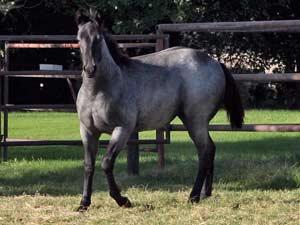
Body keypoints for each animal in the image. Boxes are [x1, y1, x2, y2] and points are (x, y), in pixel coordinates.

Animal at [74, 10, 244, 211]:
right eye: (79, 39)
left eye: (99, 39)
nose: (90, 69)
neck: (98, 90)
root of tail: (216, 63)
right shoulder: (88, 131)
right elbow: (88, 165)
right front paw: (84, 203)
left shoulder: (122, 129)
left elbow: (106, 163)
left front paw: (123, 200)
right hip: (193, 122)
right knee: (210, 149)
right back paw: (205, 193)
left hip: (196, 121)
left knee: (204, 151)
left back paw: (193, 196)